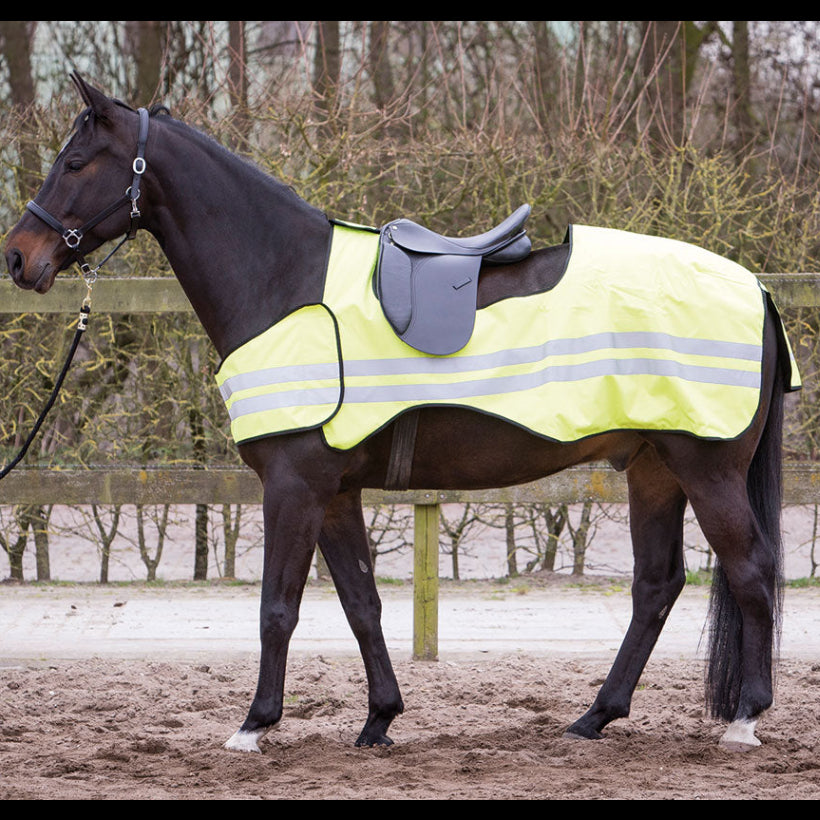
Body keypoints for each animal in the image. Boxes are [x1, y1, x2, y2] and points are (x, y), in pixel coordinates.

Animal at [4, 73, 796, 754]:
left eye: (76, 161)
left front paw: (255, 724)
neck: (283, 281)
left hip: (705, 467)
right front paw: (380, 718)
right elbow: (360, 602)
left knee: (751, 568)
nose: (19, 257)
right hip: (654, 468)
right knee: (656, 586)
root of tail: (755, 288)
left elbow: (277, 608)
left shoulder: (293, 486)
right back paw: (595, 717)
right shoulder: (333, 491)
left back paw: (745, 718)